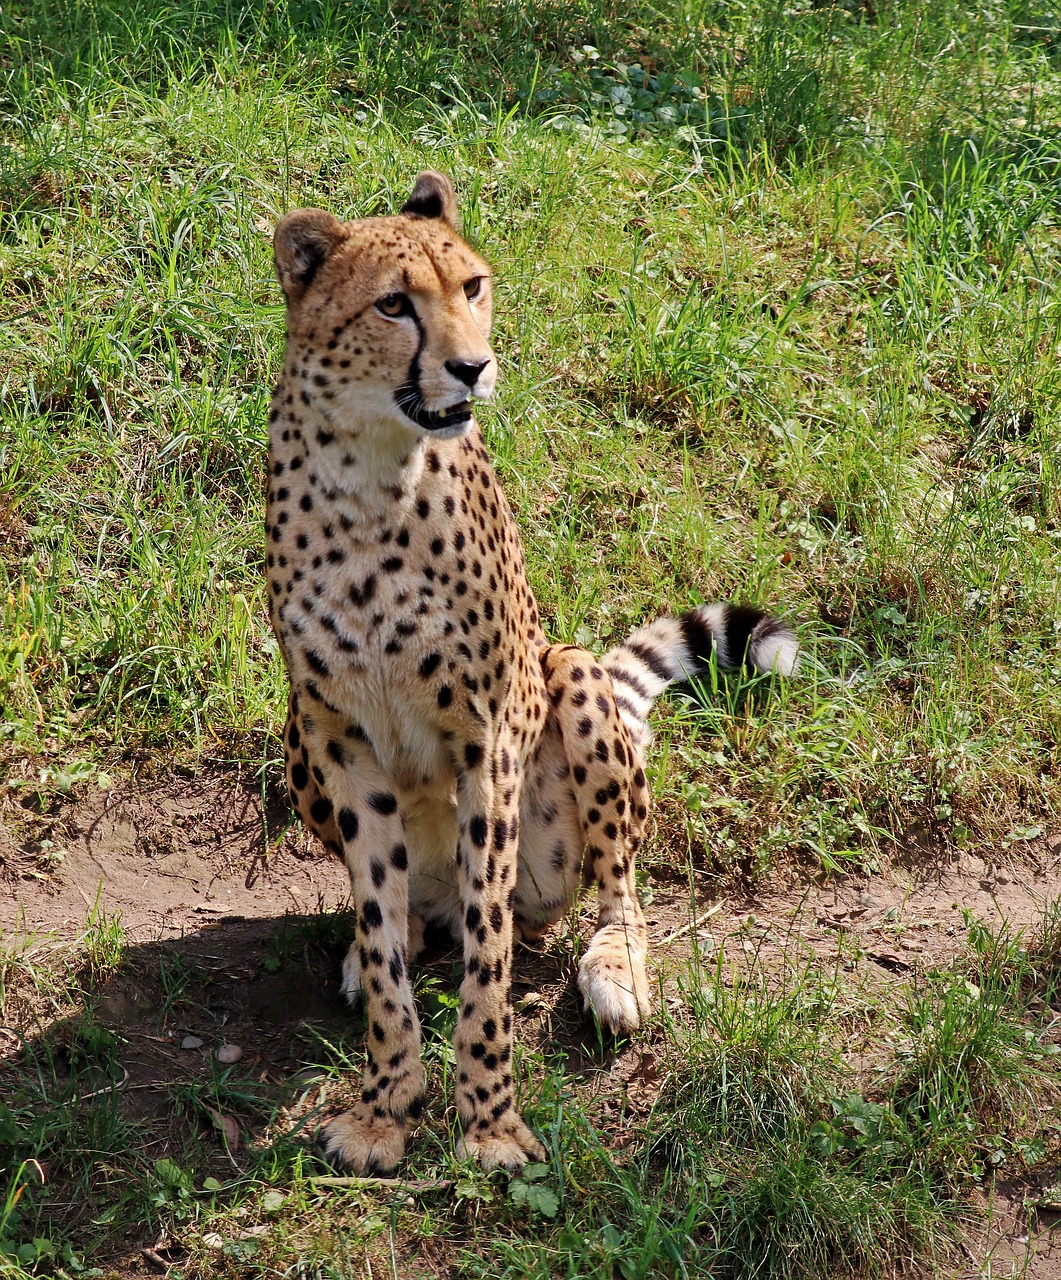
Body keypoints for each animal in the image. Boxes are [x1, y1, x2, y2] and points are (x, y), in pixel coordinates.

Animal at [264, 172, 793, 1177]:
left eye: (471, 286)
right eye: (393, 305)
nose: (472, 368)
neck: (373, 475)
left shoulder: (487, 735)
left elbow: (488, 958)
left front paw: (490, 1124)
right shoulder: (339, 733)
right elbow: (389, 951)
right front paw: (386, 1107)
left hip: (570, 681)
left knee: (610, 888)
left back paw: (614, 971)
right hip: (295, 737)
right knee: (407, 914)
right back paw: (383, 937)